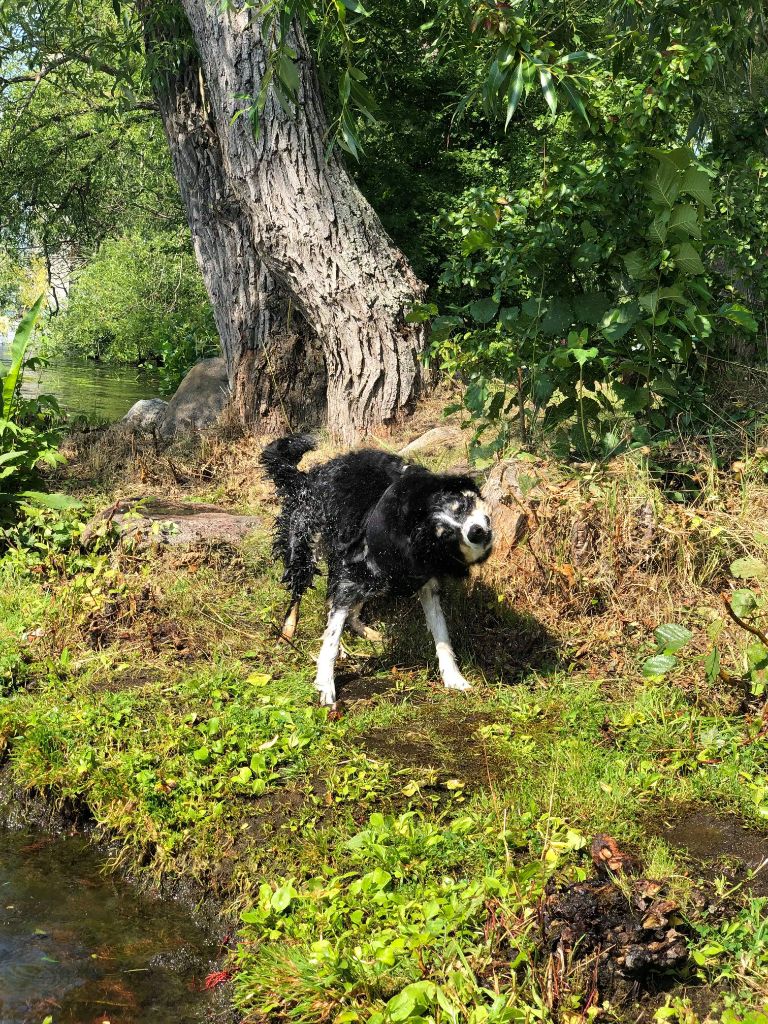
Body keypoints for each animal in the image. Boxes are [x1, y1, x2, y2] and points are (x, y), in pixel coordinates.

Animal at [262, 436, 495, 708]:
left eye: (461, 507)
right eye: (445, 534)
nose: (476, 532)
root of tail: (307, 477)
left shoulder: (425, 584)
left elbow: (442, 633)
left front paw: (454, 678)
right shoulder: (352, 575)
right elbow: (331, 637)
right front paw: (325, 684)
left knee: (340, 604)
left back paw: (364, 633)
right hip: (304, 551)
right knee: (299, 599)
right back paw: (286, 635)